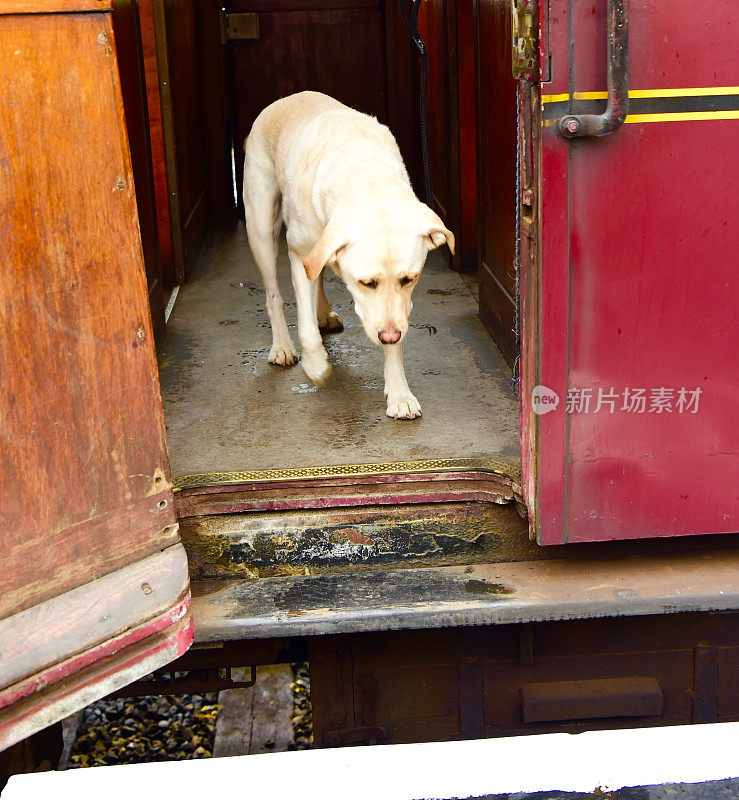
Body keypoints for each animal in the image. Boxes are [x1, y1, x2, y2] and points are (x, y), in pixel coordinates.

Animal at [244, 91, 450, 422]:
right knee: (274, 294)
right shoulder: (299, 254)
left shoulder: (397, 308)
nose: (389, 335)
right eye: (367, 283)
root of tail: (289, 98)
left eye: (409, 279)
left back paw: (323, 313)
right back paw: (282, 346)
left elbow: (395, 338)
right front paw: (316, 366)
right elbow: (306, 328)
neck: (364, 176)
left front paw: (400, 394)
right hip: (261, 228)